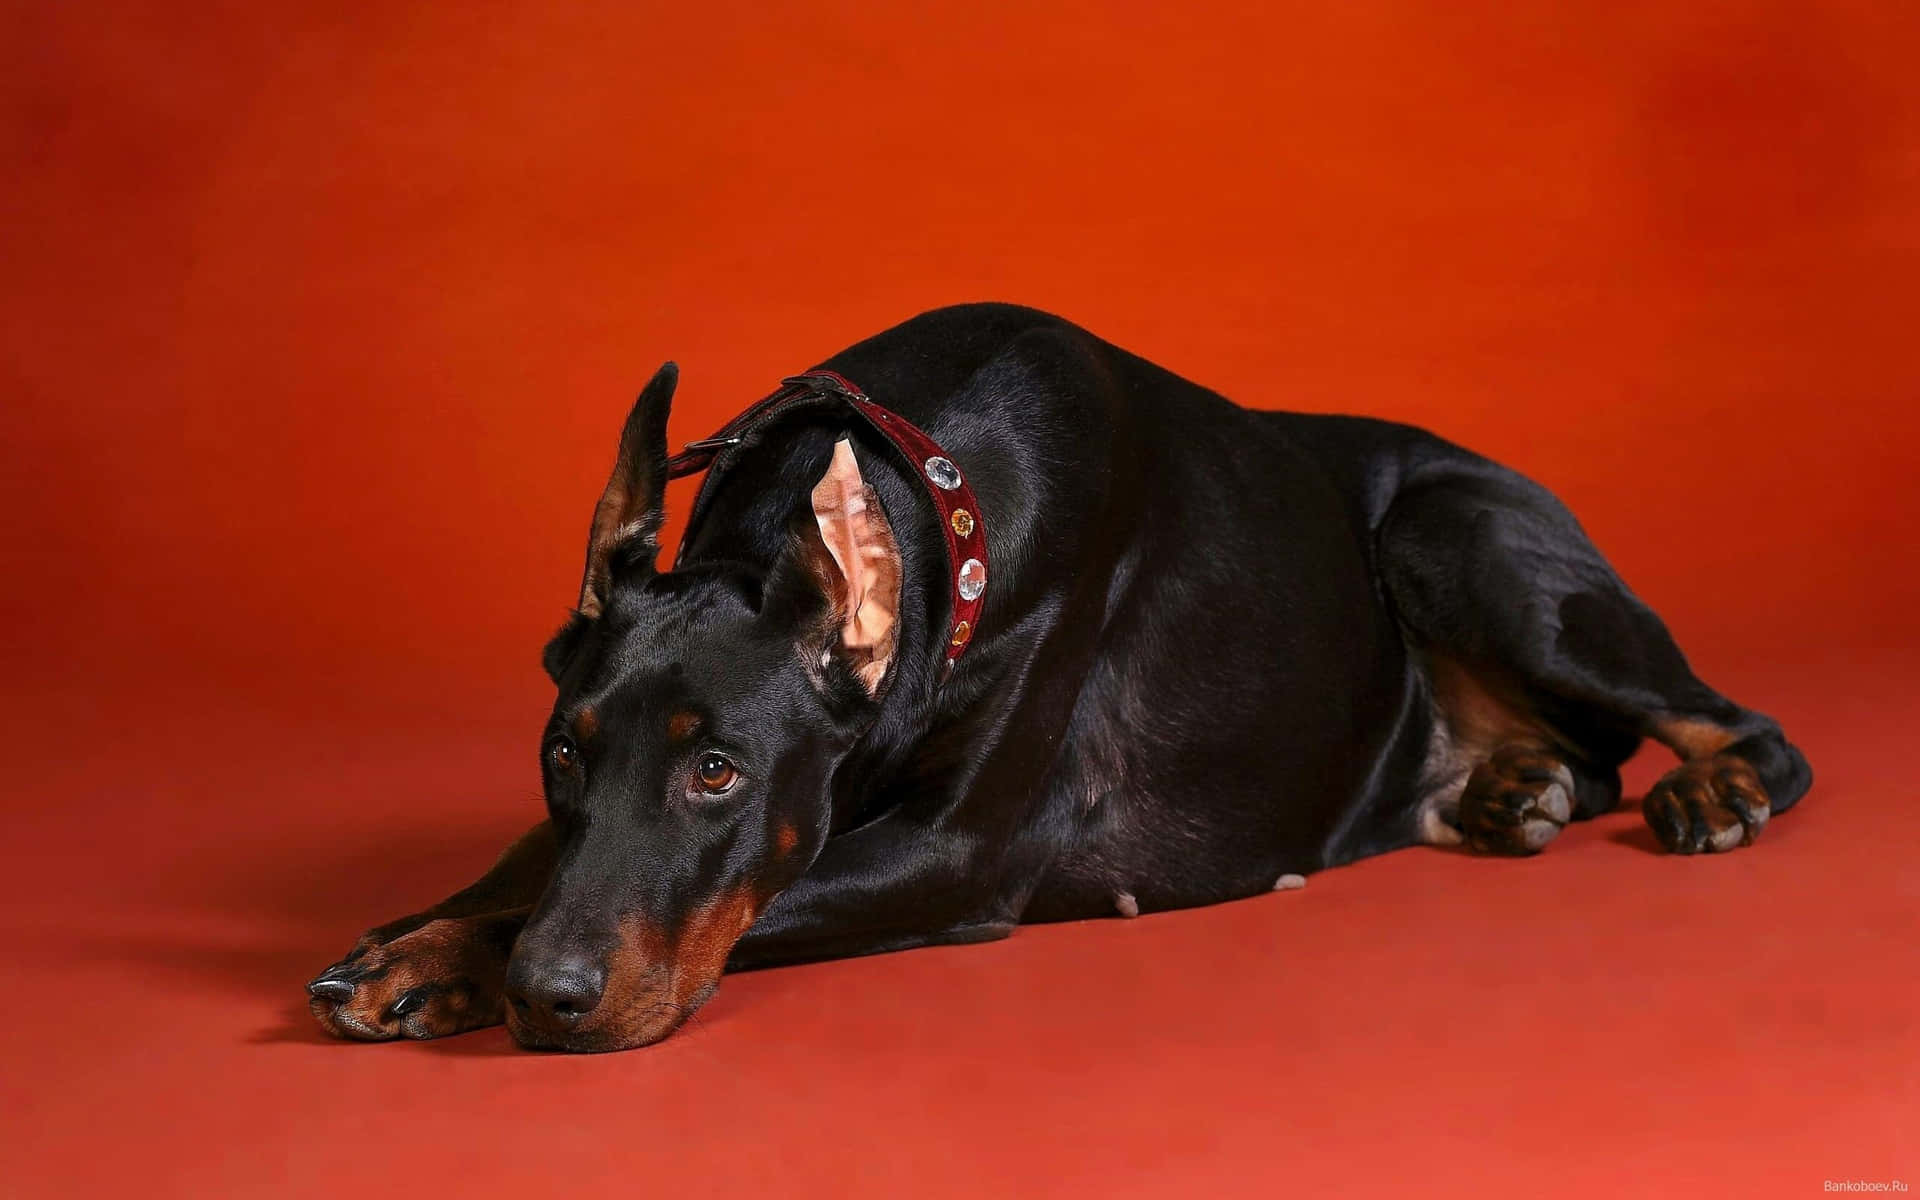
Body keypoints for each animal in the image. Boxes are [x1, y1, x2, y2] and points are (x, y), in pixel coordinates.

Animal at [307, 301, 1804, 1044]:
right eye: (563, 754)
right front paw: (418, 941)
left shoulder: (960, 855)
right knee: (1580, 758)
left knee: (1735, 729)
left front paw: (458, 964)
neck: (928, 487)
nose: (551, 1000)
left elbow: (762, 884)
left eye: (719, 772)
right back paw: (1509, 788)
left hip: (1464, 534)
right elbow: (524, 867)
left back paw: (1709, 793)